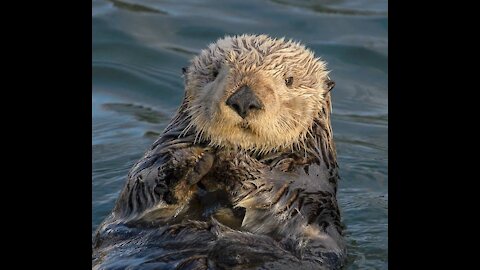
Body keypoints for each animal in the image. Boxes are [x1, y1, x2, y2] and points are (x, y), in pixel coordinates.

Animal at [92, 34, 344, 270]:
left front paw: (227, 162)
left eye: (289, 80)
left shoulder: (310, 187)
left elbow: (283, 197)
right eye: (214, 73)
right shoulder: (152, 165)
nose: (244, 99)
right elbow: (140, 187)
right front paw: (189, 163)